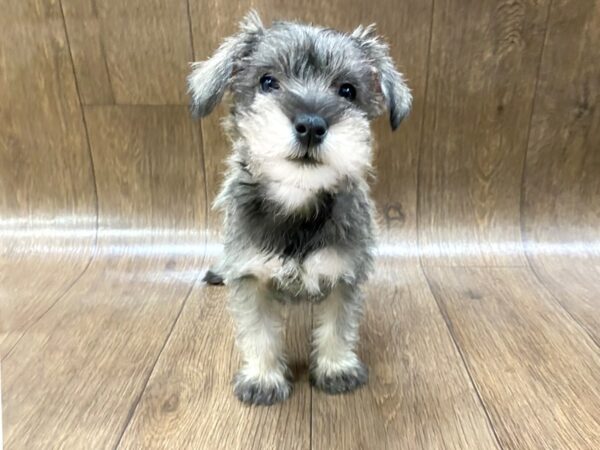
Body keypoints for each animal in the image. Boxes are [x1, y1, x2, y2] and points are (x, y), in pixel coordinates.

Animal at [189, 10, 412, 406]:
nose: (310, 125)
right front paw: (263, 378)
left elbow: (338, 326)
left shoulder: (344, 275)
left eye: (348, 90)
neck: (298, 201)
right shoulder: (250, 277)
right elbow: (259, 332)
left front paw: (337, 368)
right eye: (267, 82)